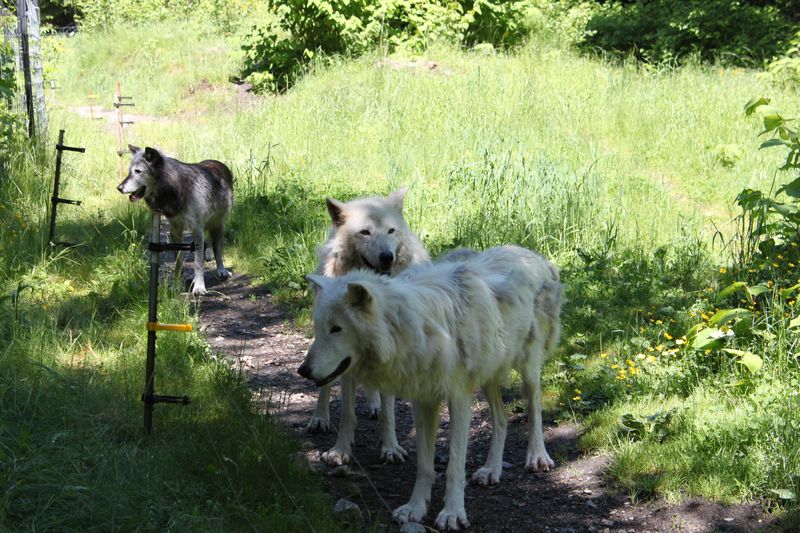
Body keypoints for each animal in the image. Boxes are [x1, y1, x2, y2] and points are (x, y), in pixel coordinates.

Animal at [117, 145, 233, 295]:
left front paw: (199, 287)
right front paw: (177, 284)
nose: (119, 188)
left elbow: (198, 263)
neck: (176, 188)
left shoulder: (197, 229)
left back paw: (221, 270)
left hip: (217, 226)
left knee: (216, 249)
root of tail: (219, 163)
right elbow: (178, 261)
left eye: (138, 171)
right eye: (129, 171)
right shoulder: (175, 229)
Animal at [298, 245, 563, 530]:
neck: (413, 329)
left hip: (528, 369)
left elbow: (454, 465)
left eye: (336, 329)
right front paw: (415, 508)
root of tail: (533, 255)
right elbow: (424, 465)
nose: (303, 371)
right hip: (487, 375)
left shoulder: (458, 399)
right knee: (501, 419)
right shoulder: (423, 400)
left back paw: (537, 457)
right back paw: (491, 470)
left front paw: (452, 513)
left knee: (534, 409)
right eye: (318, 328)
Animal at [308, 187, 430, 466]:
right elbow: (346, 413)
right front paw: (340, 451)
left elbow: (388, 413)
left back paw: (373, 404)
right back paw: (320, 417)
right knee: (325, 383)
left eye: (391, 231)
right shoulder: (345, 359)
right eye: (365, 232)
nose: (387, 257)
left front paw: (391, 448)